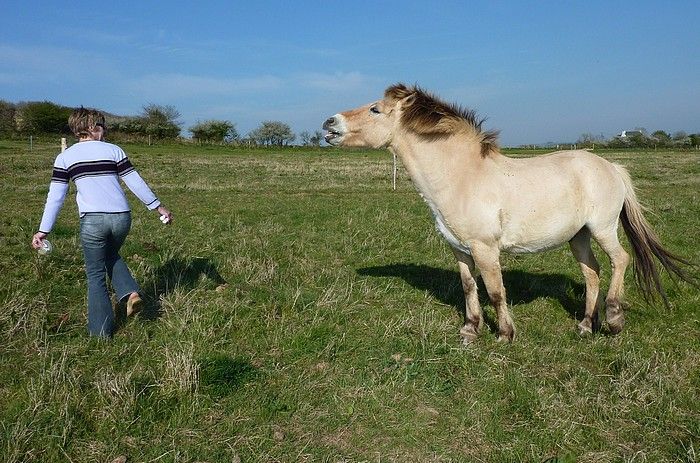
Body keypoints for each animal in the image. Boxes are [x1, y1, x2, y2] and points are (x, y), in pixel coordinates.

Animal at [323, 83, 697, 343]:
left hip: (603, 228)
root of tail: (612, 167)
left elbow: (496, 291)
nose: (329, 123)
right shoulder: (459, 249)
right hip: (578, 236)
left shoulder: (485, 249)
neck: (463, 177)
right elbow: (469, 287)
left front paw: (504, 334)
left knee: (621, 260)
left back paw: (614, 319)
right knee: (592, 273)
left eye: (375, 109)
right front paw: (470, 331)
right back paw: (584, 326)